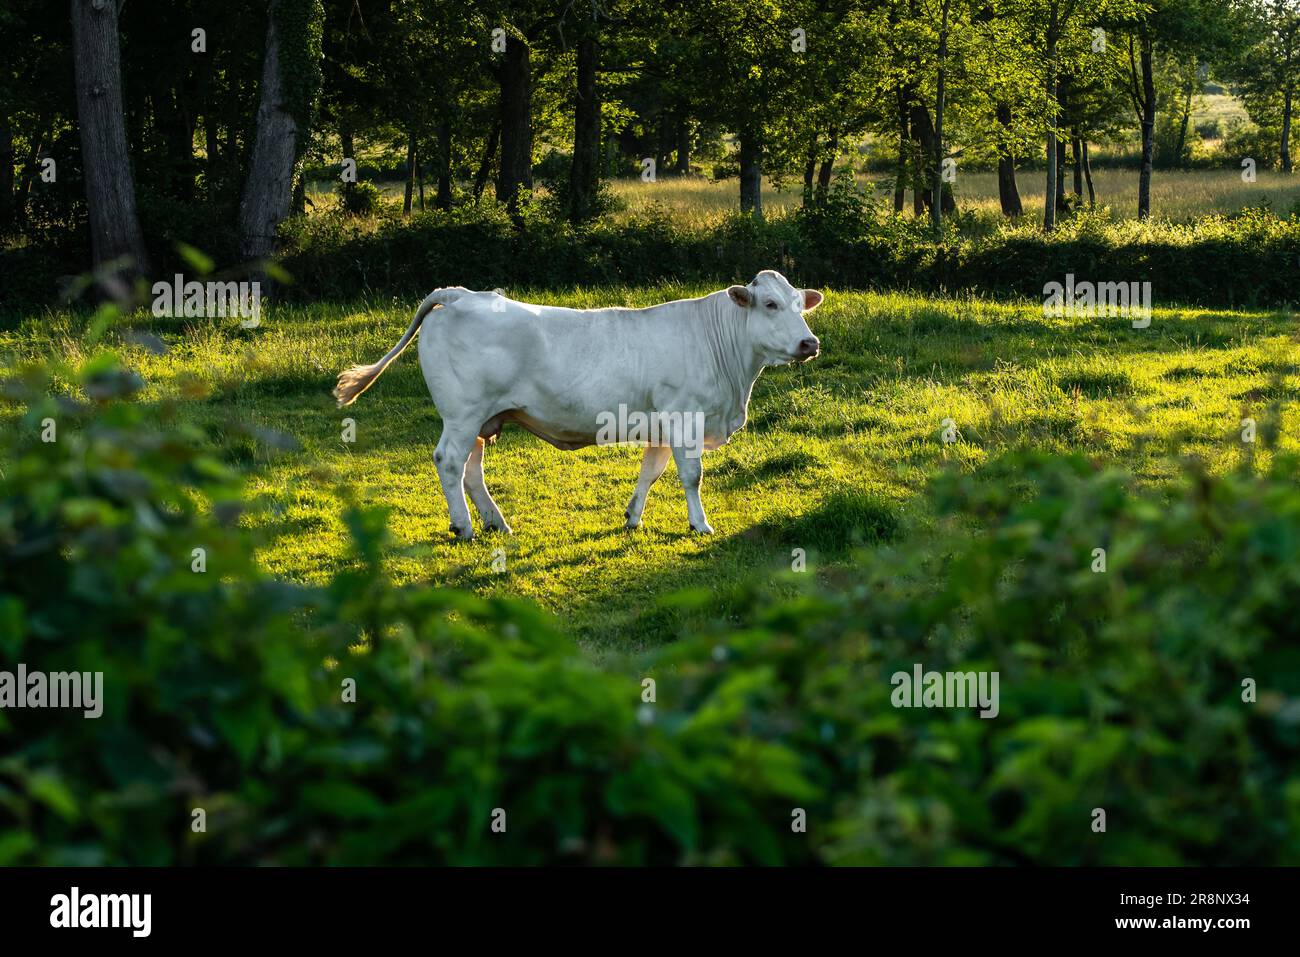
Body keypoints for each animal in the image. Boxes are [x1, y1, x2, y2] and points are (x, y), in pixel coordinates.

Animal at [335, 269, 821, 538]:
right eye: (770, 304)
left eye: (801, 305)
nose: (809, 343)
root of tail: (460, 293)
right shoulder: (686, 417)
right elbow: (691, 476)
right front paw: (699, 524)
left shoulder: (662, 424)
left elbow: (650, 471)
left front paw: (632, 518)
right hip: (461, 415)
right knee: (449, 463)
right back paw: (464, 526)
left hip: (480, 420)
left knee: (471, 470)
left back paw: (495, 522)